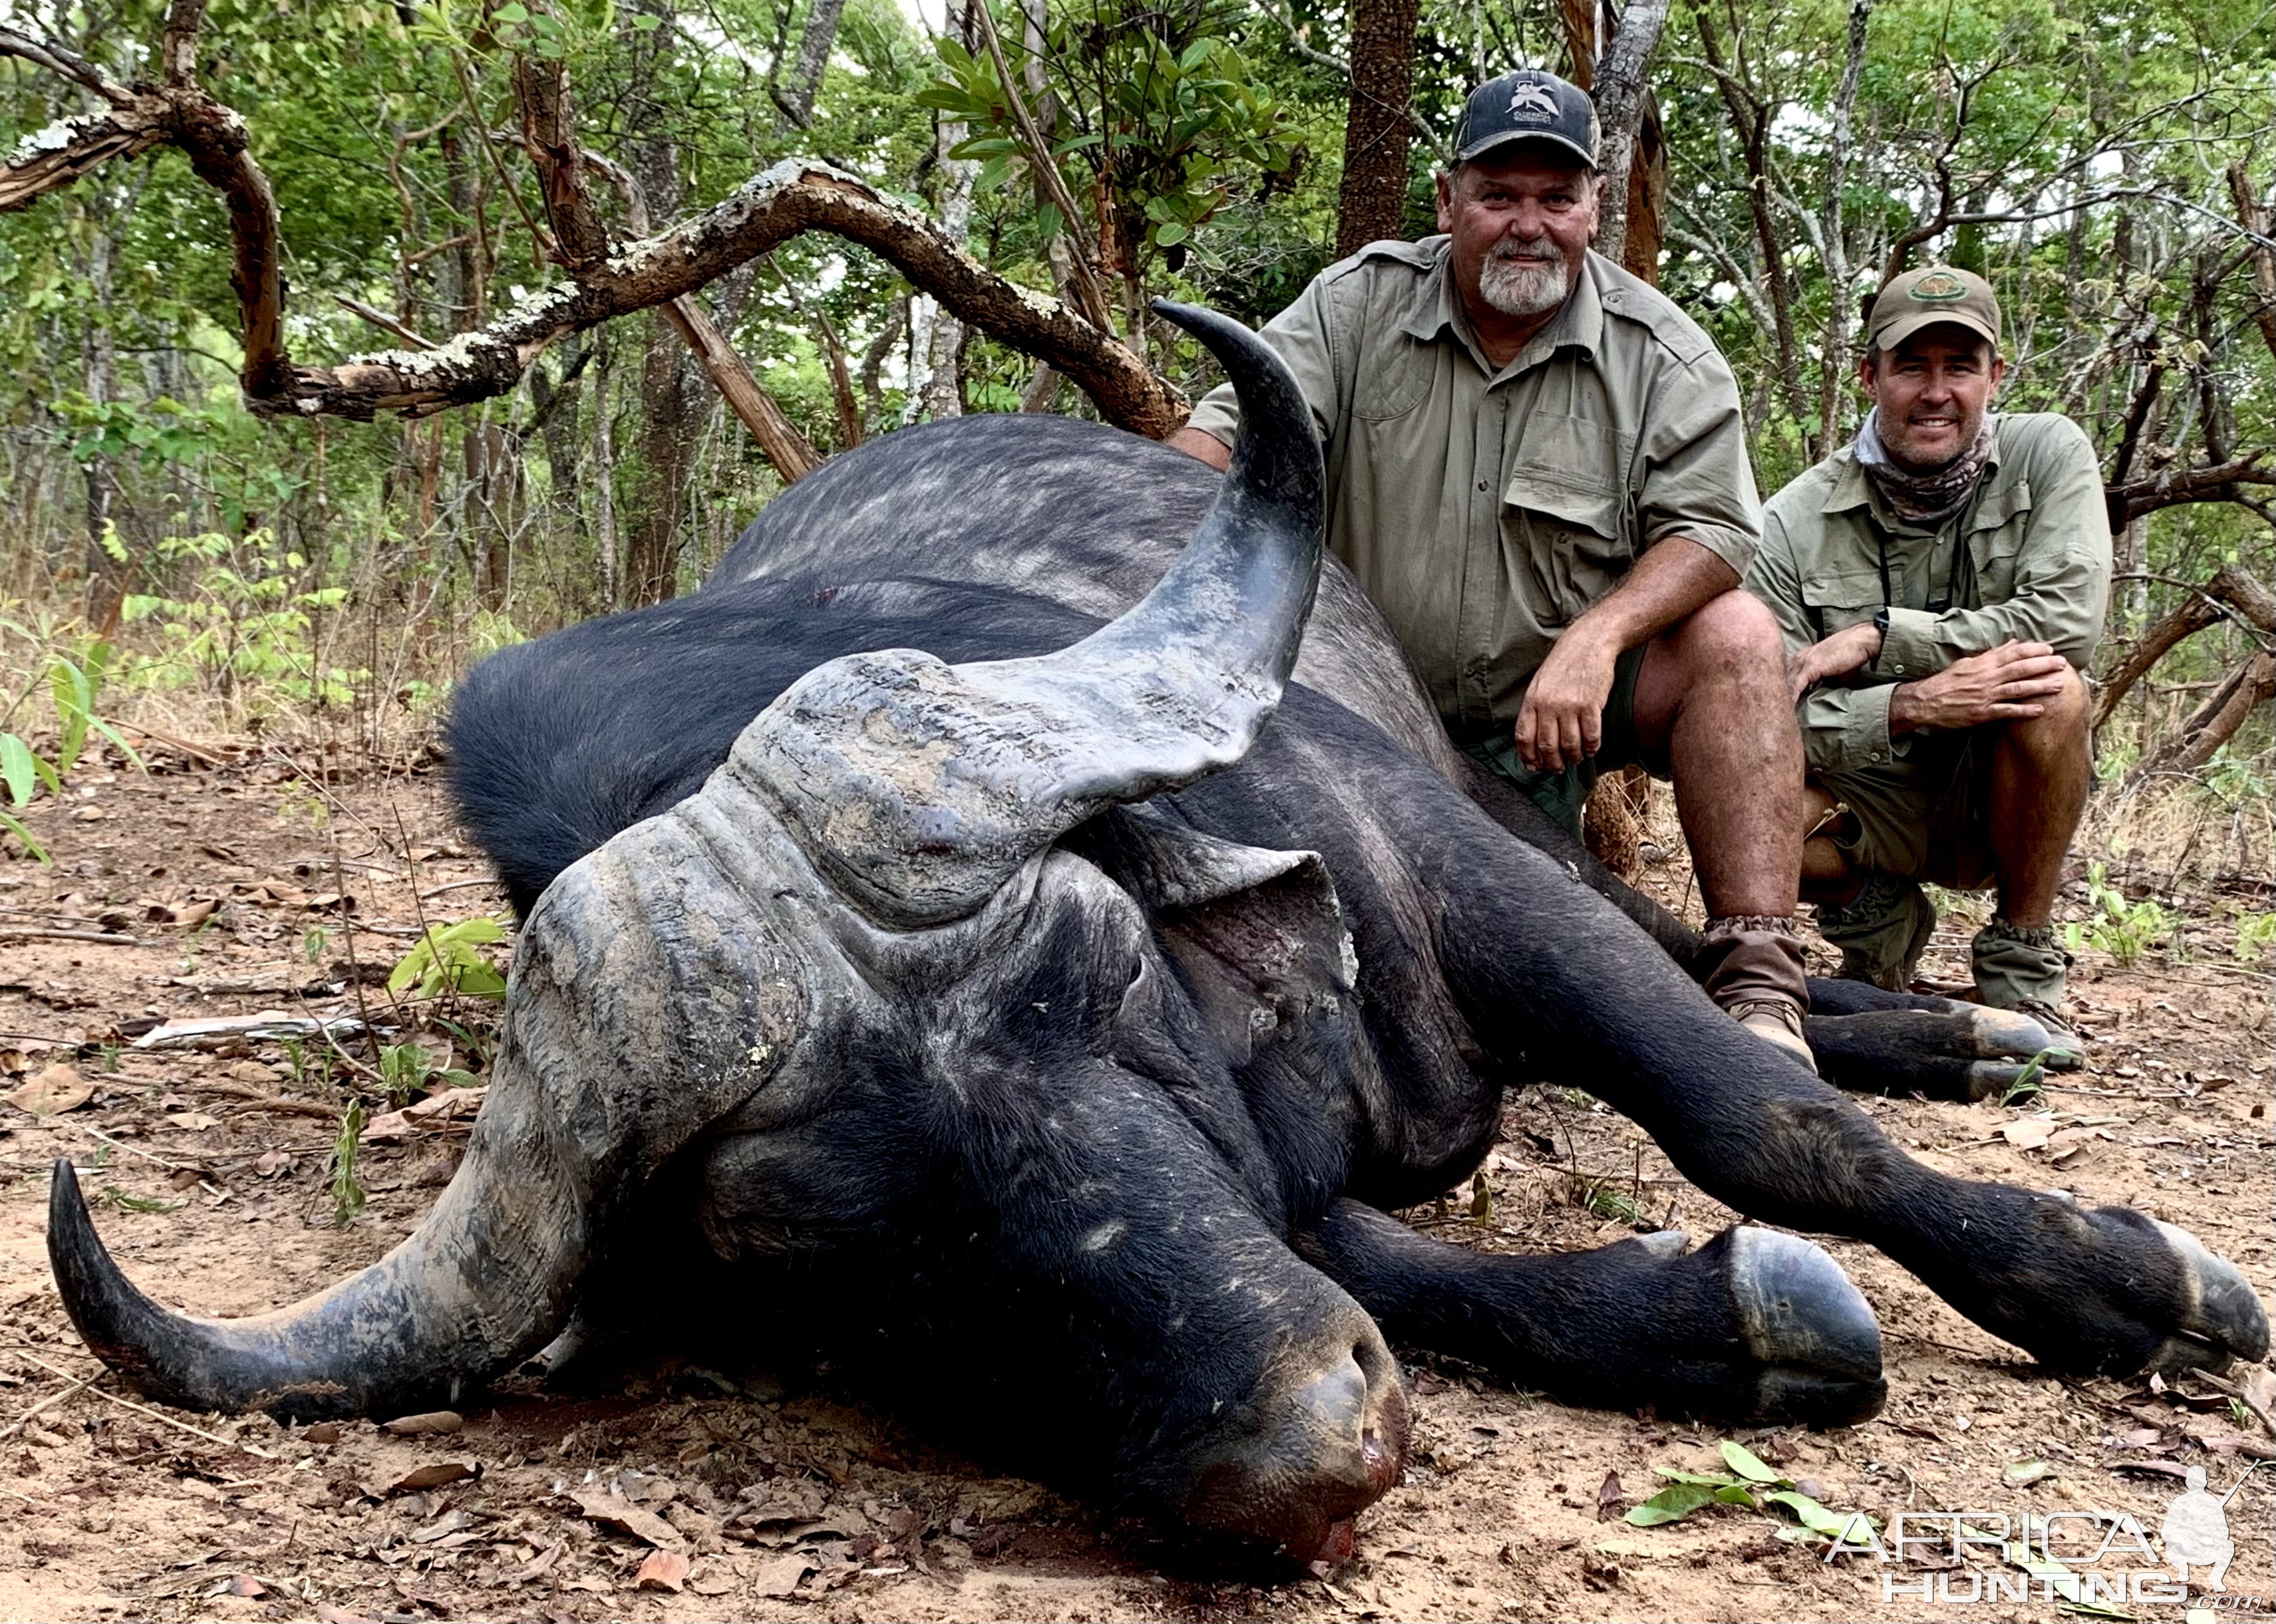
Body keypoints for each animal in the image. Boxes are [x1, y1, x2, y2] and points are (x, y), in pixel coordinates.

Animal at [44, 300, 2267, 1555]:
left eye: (1096, 978)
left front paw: (2119, 1282)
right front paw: (1728, 1319)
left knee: (1746, 979)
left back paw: (1959, 1033)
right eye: (818, 1257)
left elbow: (1762, 1122)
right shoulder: (1296, 1200)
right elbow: (1394, 1259)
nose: (1302, 1443)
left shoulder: (1461, 885)